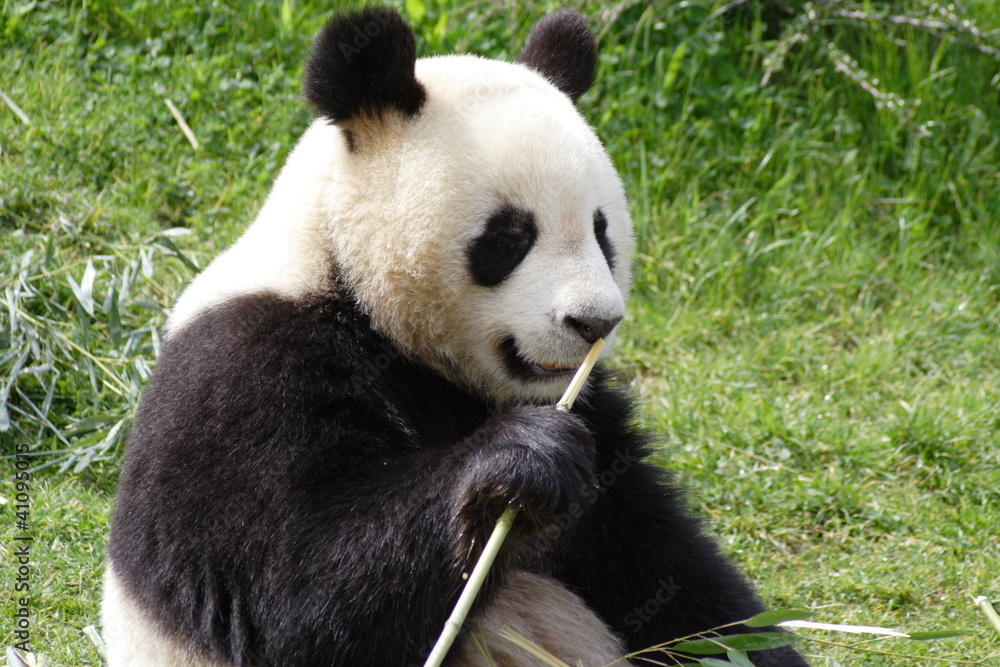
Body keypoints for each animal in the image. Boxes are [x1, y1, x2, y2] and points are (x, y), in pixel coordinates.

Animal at [103, 7, 808, 667]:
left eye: (602, 230)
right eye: (510, 236)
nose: (594, 323)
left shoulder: (596, 420)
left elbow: (662, 567)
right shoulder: (247, 371)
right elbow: (286, 597)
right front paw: (523, 460)